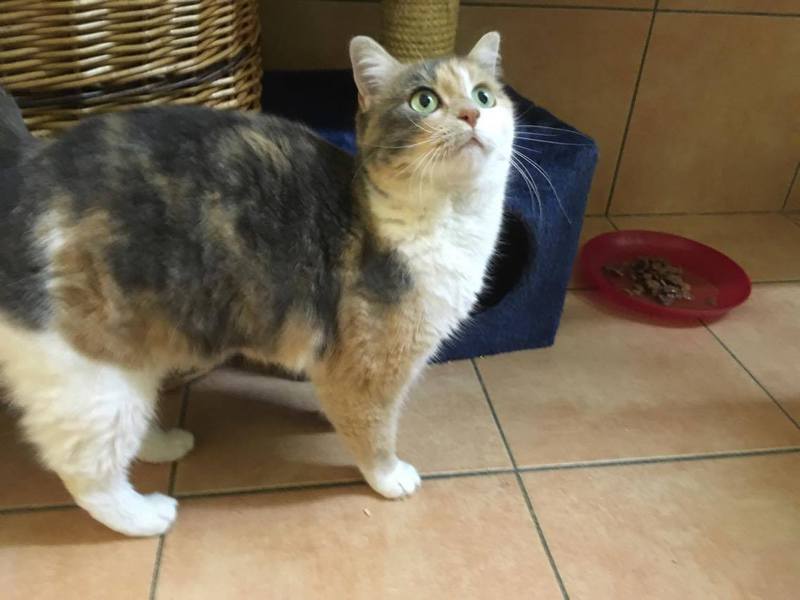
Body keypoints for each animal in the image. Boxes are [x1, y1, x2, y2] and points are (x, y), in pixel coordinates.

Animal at [0, 32, 514, 536]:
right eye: (424, 101)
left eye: (483, 95)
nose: (470, 114)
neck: (446, 219)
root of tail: (27, 165)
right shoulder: (369, 365)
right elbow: (374, 431)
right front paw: (389, 477)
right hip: (91, 379)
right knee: (85, 471)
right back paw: (146, 516)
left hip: (131, 359)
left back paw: (163, 444)